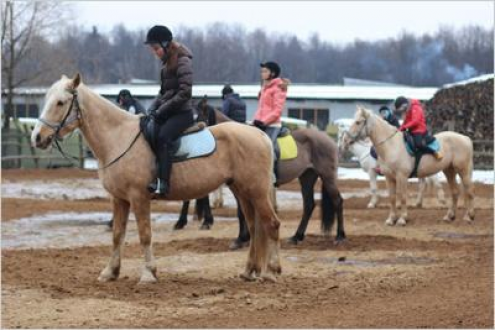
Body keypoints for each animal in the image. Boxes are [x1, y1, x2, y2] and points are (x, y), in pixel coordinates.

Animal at [32, 73, 282, 282]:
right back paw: (249, 271)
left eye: (60, 102)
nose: (37, 137)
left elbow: (145, 235)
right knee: (254, 227)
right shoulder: (119, 199)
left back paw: (272, 271)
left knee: (271, 224)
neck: (118, 138)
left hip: (256, 191)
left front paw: (148, 274)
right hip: (242, 191)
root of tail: (260, 134)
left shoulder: (139, 198)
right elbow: (117, 235)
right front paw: (110, 272)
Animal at [344, 107, 476, 226]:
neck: (391, 145)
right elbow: (392, 197)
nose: (346, 140)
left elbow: (402, 196)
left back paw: (468, 216)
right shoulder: (389, 177)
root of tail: (465, 138)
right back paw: (450, 216)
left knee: (469, 191)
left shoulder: (401, 176)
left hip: (463, 170)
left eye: (358, 122)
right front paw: (391, 219)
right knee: (455, 192)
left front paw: (402, 219)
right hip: (449, 170)